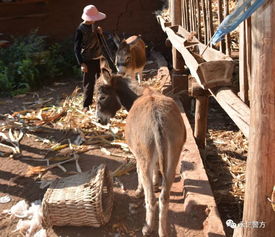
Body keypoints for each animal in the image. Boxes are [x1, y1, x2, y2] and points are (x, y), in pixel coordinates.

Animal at [95, 68, 188, 237]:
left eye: (102, 97)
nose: (99, 120)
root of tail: (157, 118)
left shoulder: (137, 154)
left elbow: (138, 171)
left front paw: (139, 190)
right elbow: (156, 167)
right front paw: (156, 182)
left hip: (146, 157)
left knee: (151, 199)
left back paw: (148, 227)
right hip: (173, 158)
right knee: (164, 197)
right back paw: (162, 231)